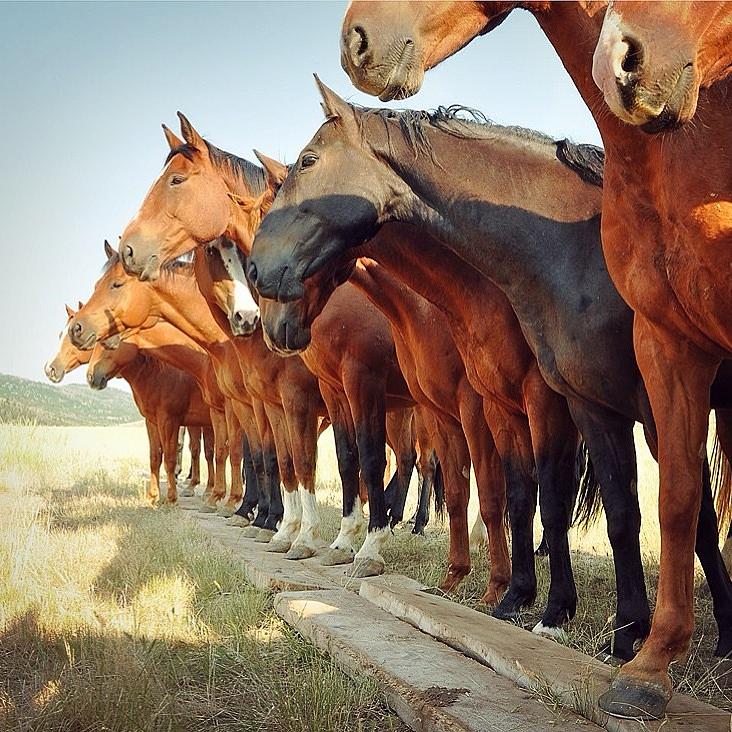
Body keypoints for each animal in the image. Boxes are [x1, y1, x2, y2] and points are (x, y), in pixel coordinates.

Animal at [244, 84, 732, 676]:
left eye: (309, 162)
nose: (257, 283)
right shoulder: (572, 406)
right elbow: (561, 503)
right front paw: (599, 625)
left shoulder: (600, 401)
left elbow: (606, 504)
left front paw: (560, 612)